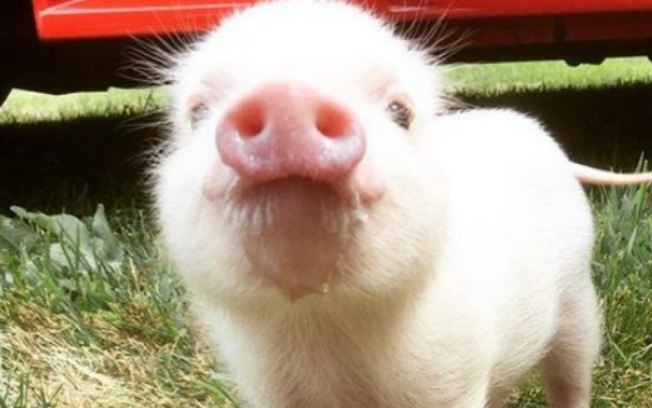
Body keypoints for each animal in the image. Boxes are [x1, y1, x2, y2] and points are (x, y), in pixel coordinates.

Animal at [153, 1, 651, 406]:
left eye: (400, 112)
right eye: (197, 113)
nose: (287, 95)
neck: (322, 326)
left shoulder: (451, 375)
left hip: (577, 292)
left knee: (573, 373)